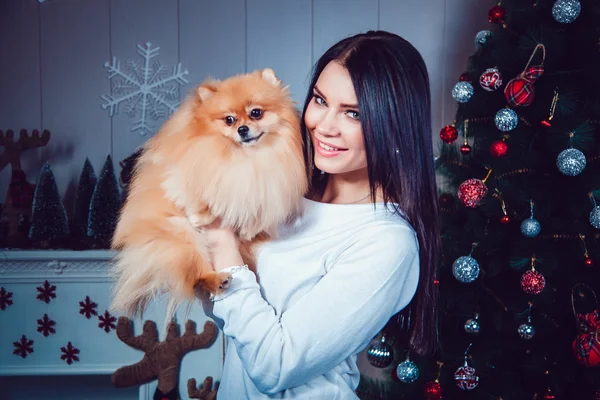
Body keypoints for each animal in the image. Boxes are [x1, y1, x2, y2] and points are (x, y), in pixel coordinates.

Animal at [108, 69, 308, 318]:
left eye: (256, 113)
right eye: (229, 119)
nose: (242, 129)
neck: (246, 158)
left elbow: (254, 209)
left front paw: (248, 228)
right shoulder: (183, 170)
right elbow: (197, 190)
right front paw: (202, 213)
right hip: (184, 238)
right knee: (196, 276)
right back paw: (216, 279)